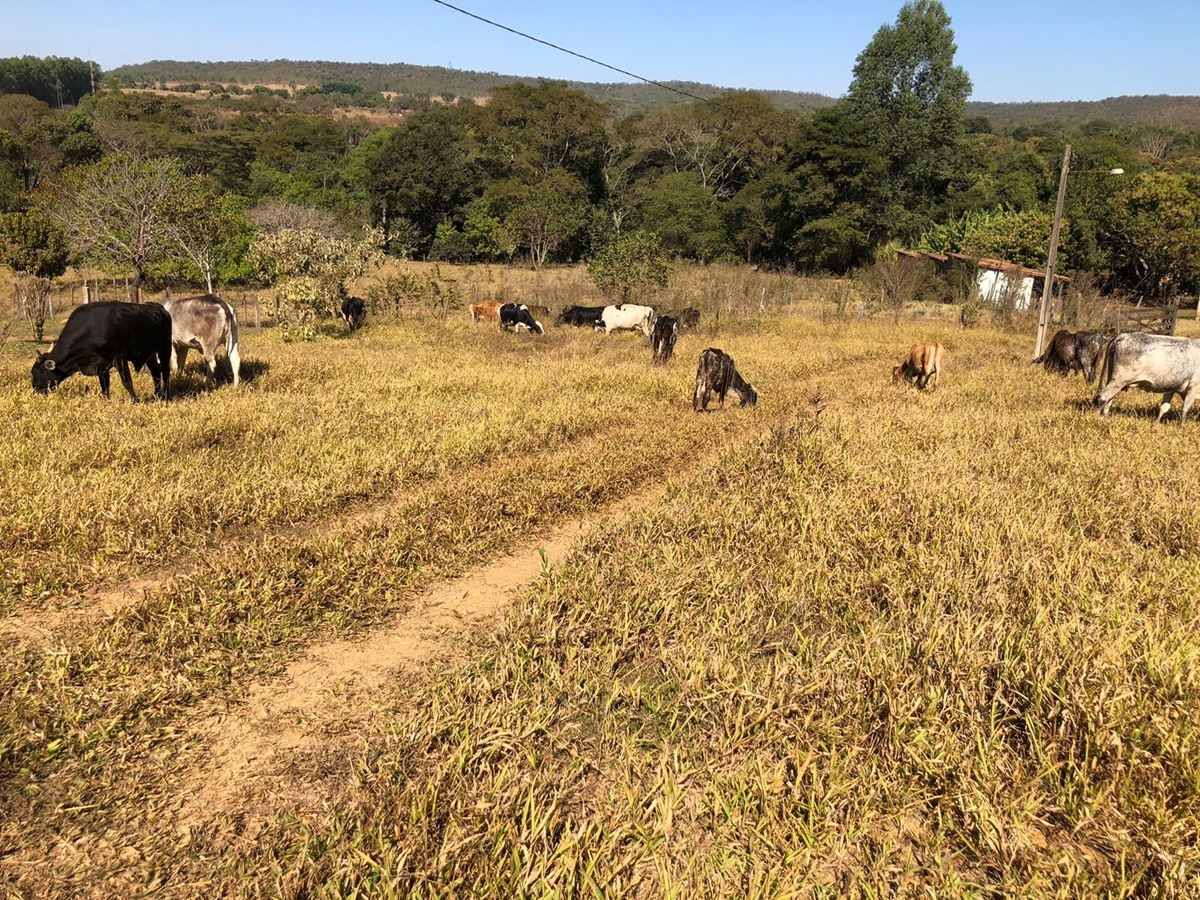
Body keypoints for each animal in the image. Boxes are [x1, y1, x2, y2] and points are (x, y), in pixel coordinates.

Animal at [30, 303, 171, 400]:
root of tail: (160, 308)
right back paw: (157, 394)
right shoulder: (101, 365)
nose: (35, 391)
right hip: (150, 353)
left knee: (165, 371)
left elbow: (127, 382)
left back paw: (165, 395)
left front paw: (135, 401)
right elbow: (105, 387)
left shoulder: (119, 357)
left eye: (40, 372)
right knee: (155, 372)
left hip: (165, 348)